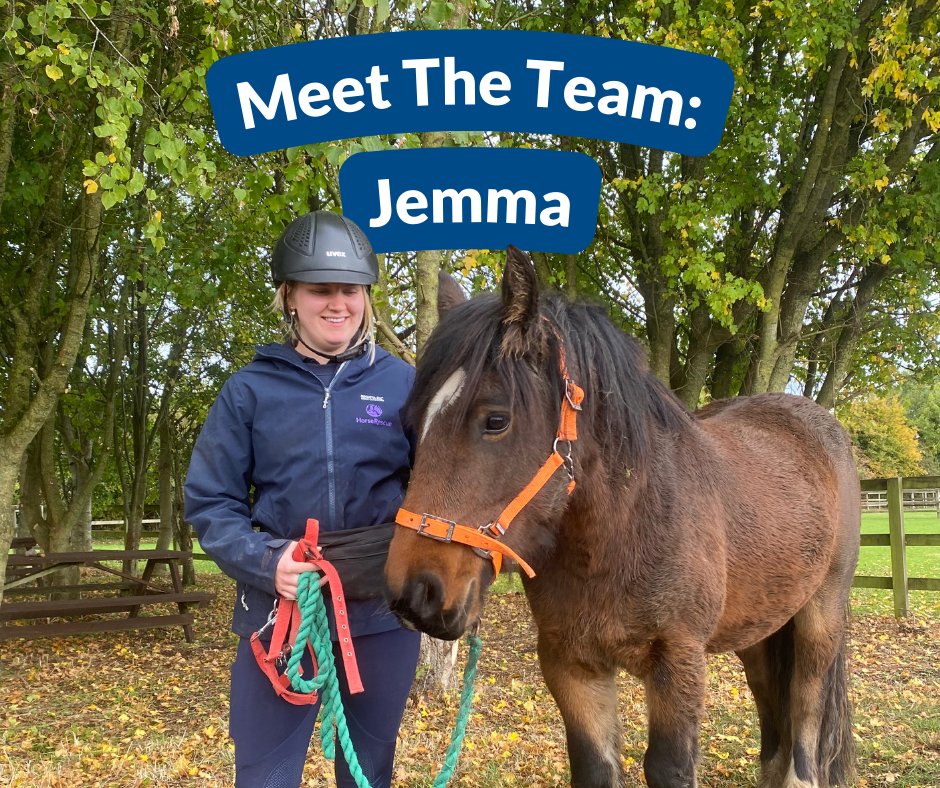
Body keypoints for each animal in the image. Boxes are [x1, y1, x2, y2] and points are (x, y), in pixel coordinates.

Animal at [385, 247, 860, 788]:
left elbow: (670, 767)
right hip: (759, 630)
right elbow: (594, 765)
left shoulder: (679, 662)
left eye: (496, 420)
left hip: (820, 617)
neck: (620, 534)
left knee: (806, 714)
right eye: (411, 423)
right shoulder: (571, 665)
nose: (415, 593)